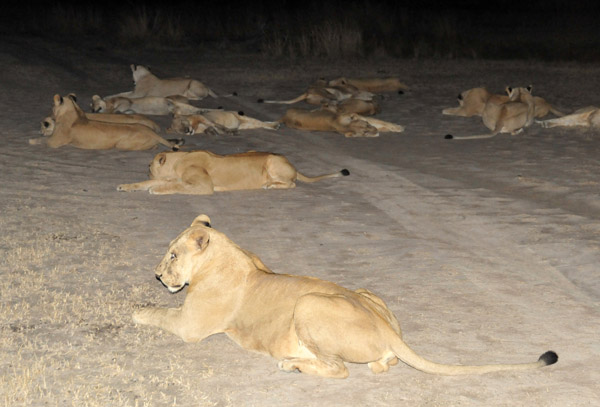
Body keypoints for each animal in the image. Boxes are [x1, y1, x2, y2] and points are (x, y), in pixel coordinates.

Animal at [29, 95, 180, 151]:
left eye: (52, 106)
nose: (40, 130)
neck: (75, 111)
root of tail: (150, 129)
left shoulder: (54, 142)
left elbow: (42, 140)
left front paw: (31, 140)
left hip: (121, 145)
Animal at [134, 214, 560, 380]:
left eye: (172, 255)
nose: (157, 274)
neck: (227, 252)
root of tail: (386, 329)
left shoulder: (189, 325)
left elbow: (157, 312)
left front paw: (136, 309)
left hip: (308, 304)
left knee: (338, 369)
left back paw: (293, 364)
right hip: (367, 294)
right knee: (382, 364)